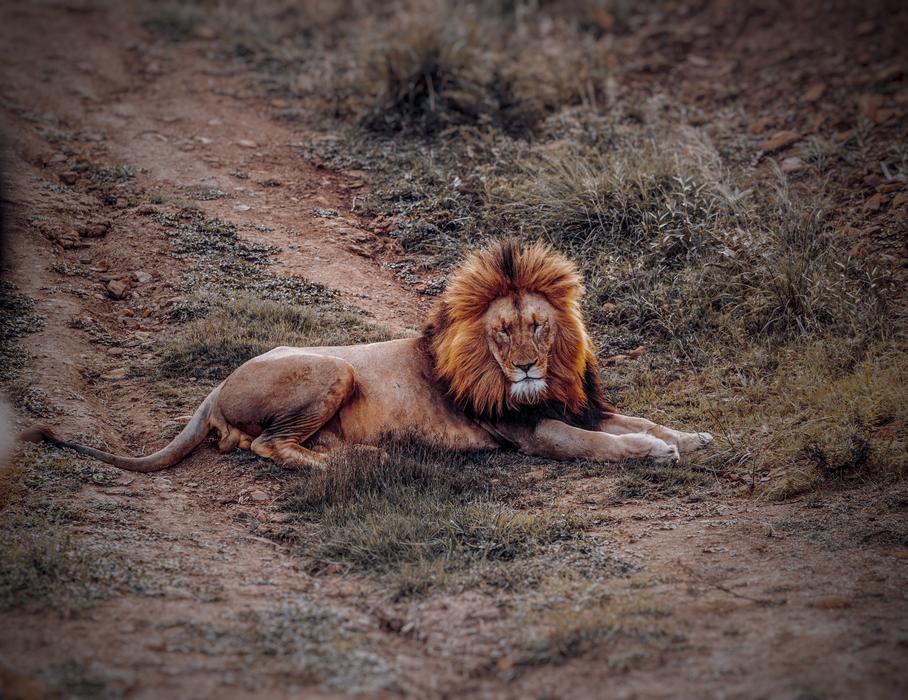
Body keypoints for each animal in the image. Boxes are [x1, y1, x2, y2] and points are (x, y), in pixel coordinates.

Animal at [26, 239, 712, 471]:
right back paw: (343, 464)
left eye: (539, 328)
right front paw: (654, 452)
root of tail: (214, 388)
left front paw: (690, 436)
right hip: (335, 367)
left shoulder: (577, 405)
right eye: (502, 332)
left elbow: (639, 420)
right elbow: (600, 445)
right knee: (265, 445)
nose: (523, 368)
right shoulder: (533, 432)